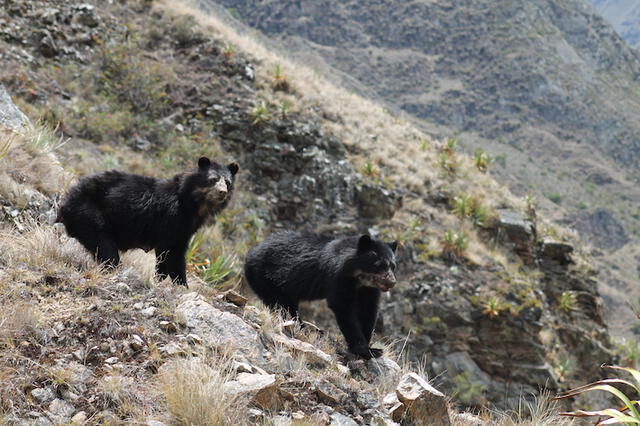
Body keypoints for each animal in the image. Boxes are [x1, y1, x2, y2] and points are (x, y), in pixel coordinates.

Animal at [57, 156, 238, 286]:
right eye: (213, 179)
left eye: (228, 182)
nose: (222, 192)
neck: (194, 205)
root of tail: (64, 203)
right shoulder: (172, 219)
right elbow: (173, 253)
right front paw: (181, 286)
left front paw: (161, 280)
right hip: (89, 214)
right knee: (105, 247)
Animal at [244, 231, 398, 358]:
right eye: (380, 264)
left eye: (393, 266)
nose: (392, 282)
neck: (358, 278)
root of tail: (250, 254)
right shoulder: (338, 278)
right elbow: (343, 308)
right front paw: (364, 350)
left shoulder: (369, 289)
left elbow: (368, 310)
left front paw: (372, 348)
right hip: (266, 278)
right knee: (282, 305)